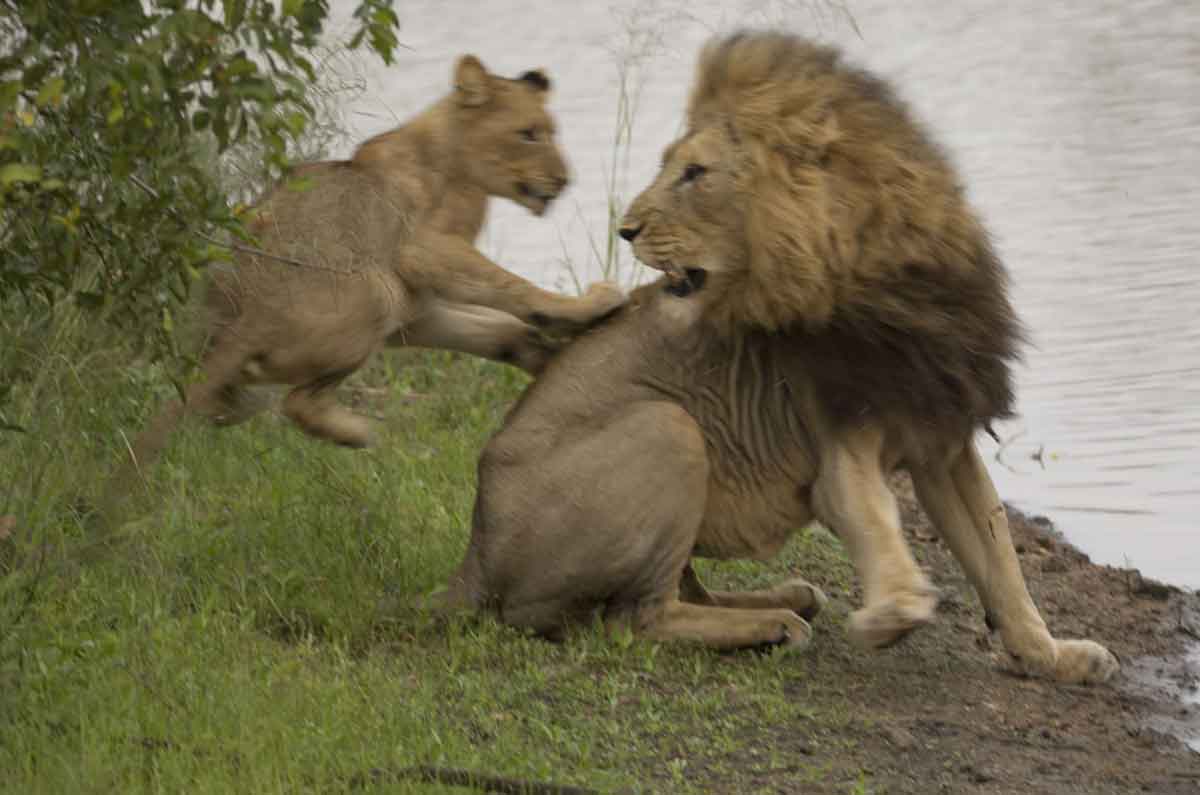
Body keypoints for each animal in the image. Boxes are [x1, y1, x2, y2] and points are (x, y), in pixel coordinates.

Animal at [104, 54, 623, 511]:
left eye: (550, 131)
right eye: (528, 134)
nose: (564, 181)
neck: (459, 164)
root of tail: (250, 312)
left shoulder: (415, 311)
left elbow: (495, 330)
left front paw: (546, 354)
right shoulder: (423, 251)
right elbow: (510, 285)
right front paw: (586, 305)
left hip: (255, 354)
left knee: (229, 401)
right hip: (375, 292)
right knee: (297, 402)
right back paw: (358, 432)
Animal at [438, 32, 1118, 685]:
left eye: (694, 172)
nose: (624, 230)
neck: (887, 275)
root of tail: (473, 554)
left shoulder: (941, 430)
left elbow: (1000, 559)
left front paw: (1052, 656)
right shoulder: (840, 437)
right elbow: (875, 517)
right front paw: (893, 614)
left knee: (678, 592)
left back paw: (785, 598)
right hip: (670, 426)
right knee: (635, 618)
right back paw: (773, 625)